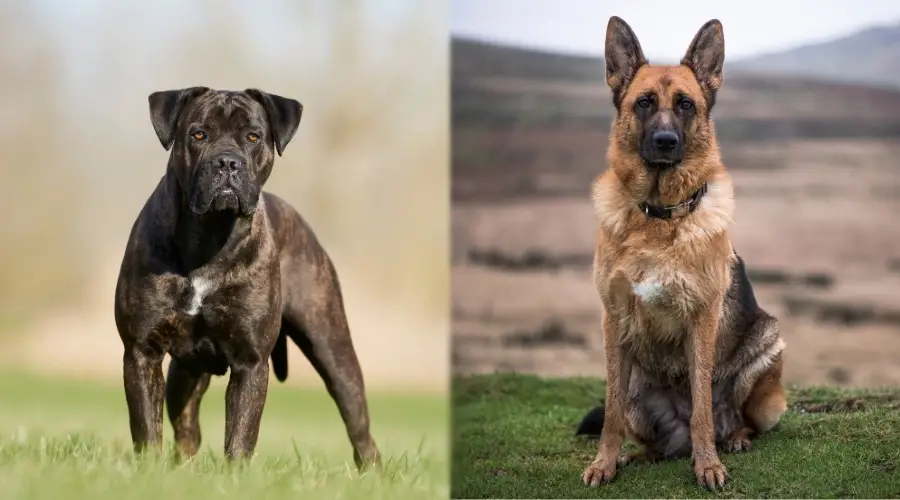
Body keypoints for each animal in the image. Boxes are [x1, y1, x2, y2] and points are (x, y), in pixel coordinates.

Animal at [113, 87, 380, 468]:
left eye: (253, 137)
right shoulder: (141, 352)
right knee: (186, 423)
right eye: (198, 134)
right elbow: (147, 427)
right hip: (187, 370)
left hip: (332, 346)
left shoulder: (250, 361)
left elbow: (241, 432)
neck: (211, 237)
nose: (227, 162)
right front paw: (150, 469)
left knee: (357, 422)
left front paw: (236, 473)